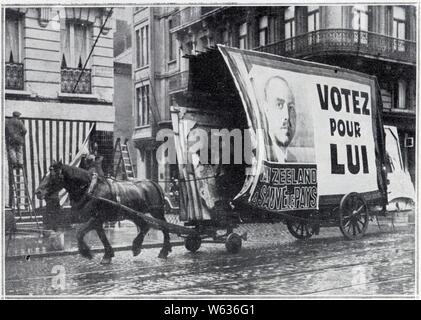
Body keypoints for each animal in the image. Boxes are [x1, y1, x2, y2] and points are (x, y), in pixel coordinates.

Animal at [35, 160, 171, 264]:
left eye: (53, 175)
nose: (38, 192)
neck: (90, 189)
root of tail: (153, 183)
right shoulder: (96, 220)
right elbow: (101, 236)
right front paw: (107, 255)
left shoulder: (96, 218)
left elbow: (80, 233)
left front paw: (88, 253)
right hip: (134, 214)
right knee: (145, 226)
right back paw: (137, 247)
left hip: (156, 212)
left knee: (164, 227)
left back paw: (163, 251)